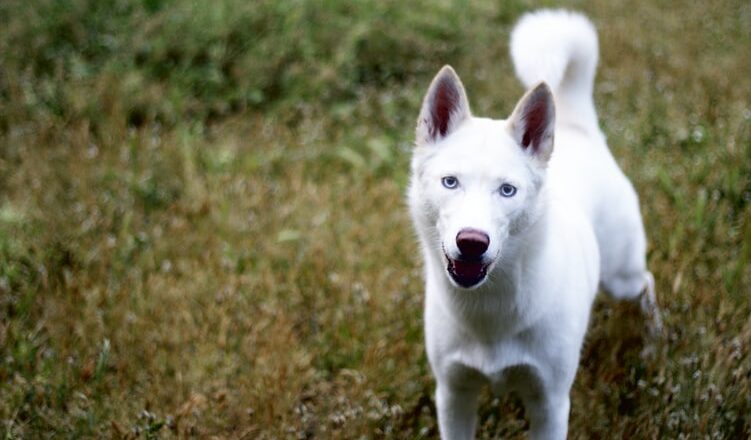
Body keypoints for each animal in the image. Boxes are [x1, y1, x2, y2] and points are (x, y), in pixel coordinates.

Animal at [408, 8, 660, 438]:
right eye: (450, 182)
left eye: (507, 190)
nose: (472, 241)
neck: (489, 309)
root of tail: (578, 127)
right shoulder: (453, 395)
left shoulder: (550, 403)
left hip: (620, 276)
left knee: (646, 282)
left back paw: (656, 336)